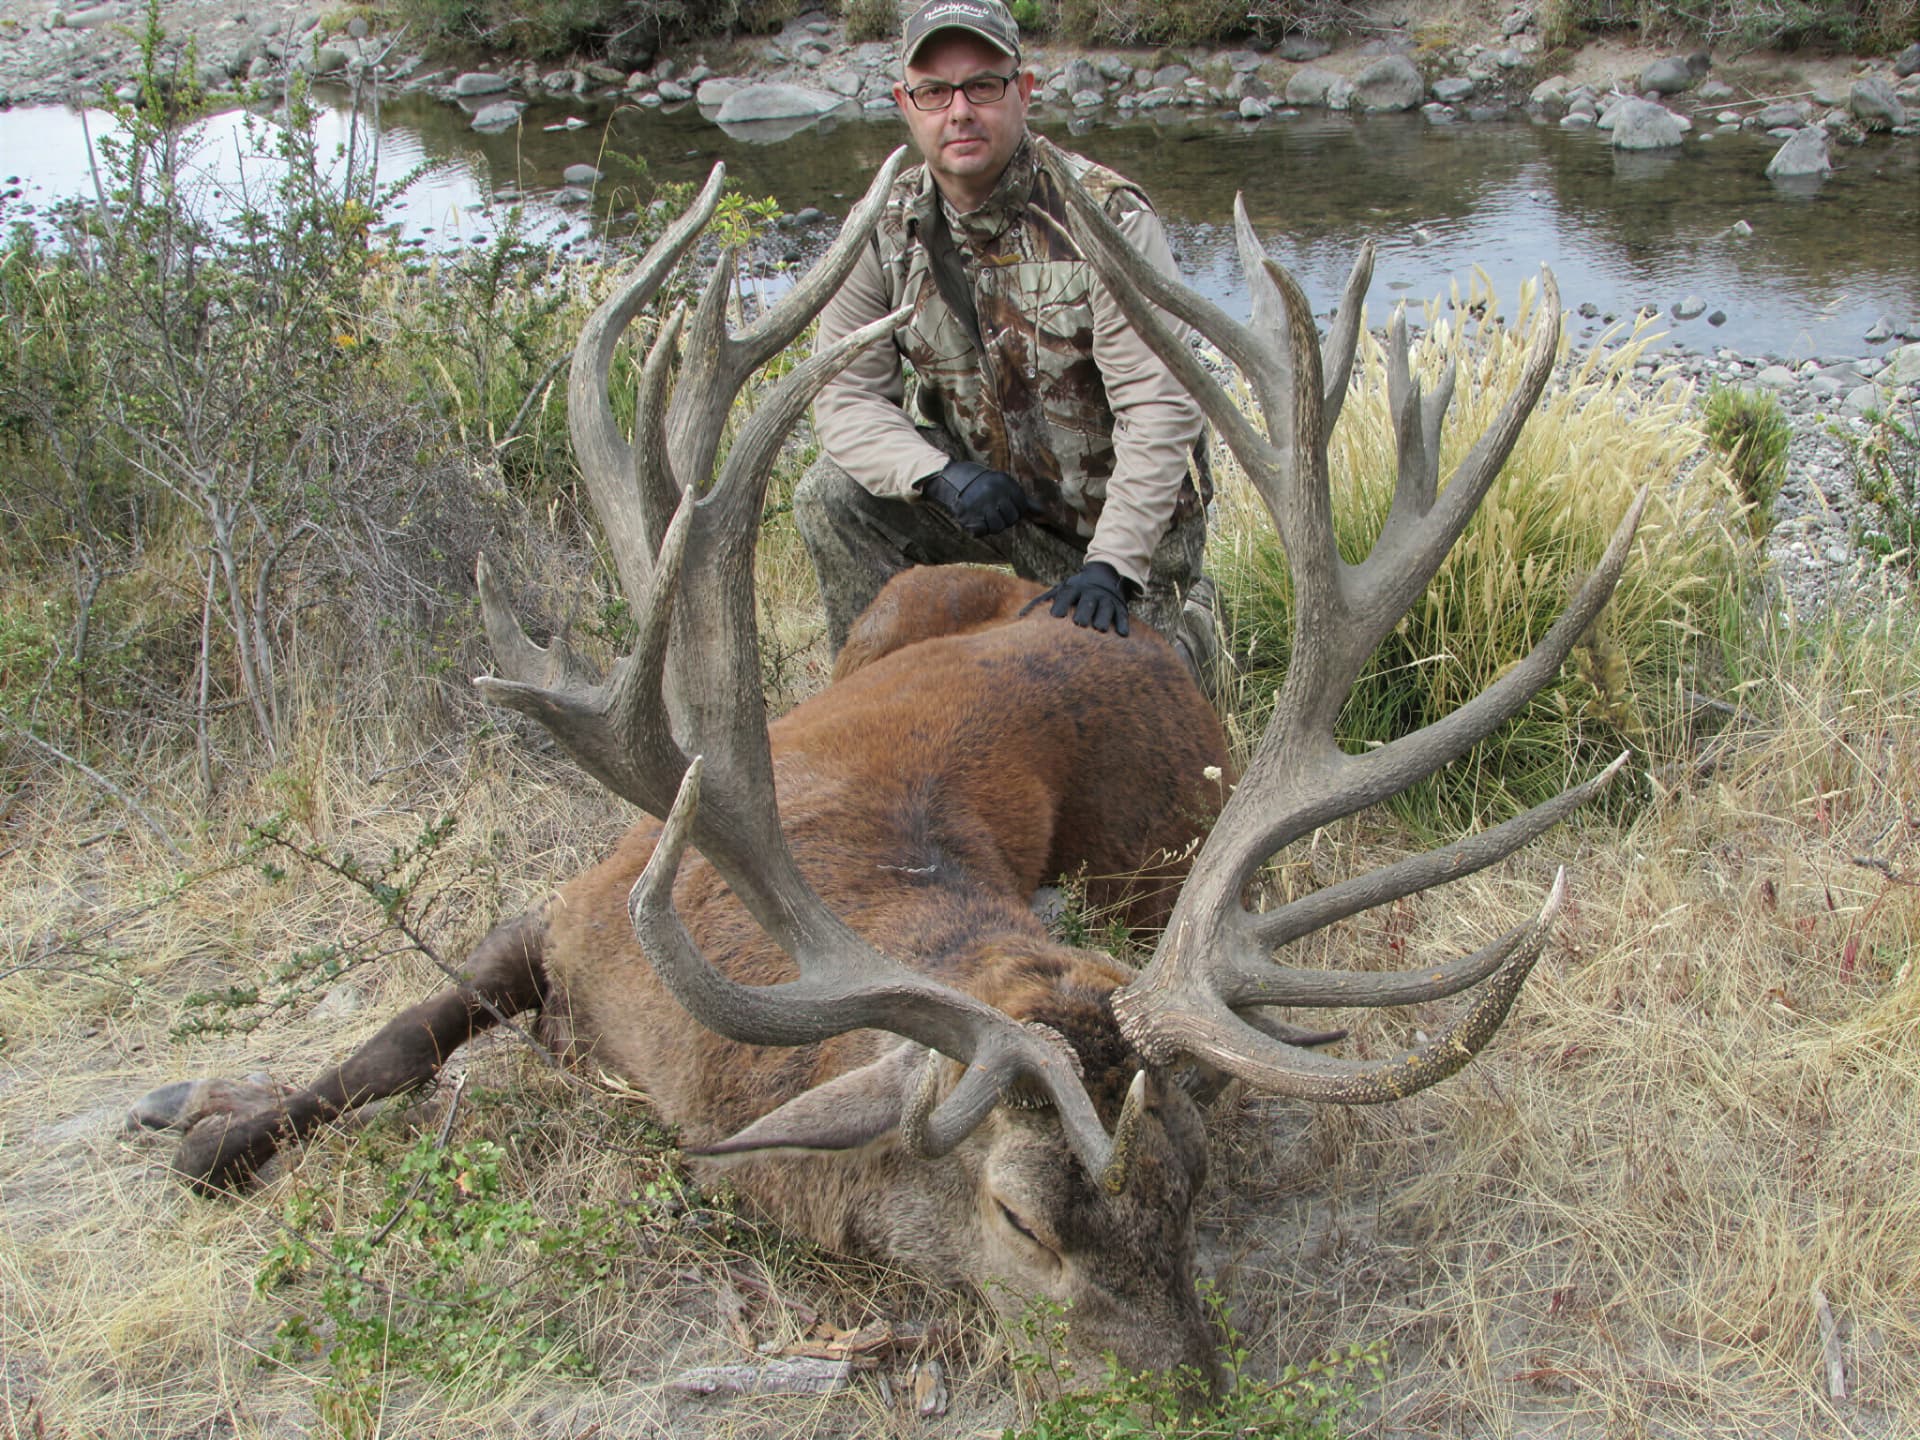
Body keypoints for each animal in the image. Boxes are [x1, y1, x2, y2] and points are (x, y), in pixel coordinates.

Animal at [135, 136, 1645, 1382]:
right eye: (1022, 1220)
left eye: (1194, 1191)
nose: (1191, 1392)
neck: (707, 1041)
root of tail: (1103, 618)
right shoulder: (570, 901)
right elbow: (398, 1035)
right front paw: (207, 1130)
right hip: (908, 602)